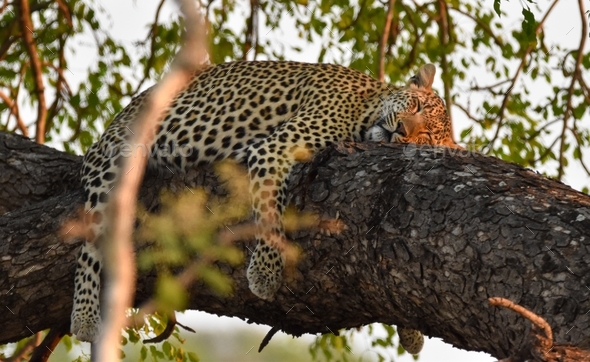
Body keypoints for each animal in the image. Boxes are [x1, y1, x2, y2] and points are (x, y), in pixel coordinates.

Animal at [69, 60, 460, 354]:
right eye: (415, 107)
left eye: (425, 136)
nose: (401, 131)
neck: (368, 104)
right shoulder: (274, 148)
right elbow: (271, 213)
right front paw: (265, 273)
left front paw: (411, 332)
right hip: (114, 161)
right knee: (90, 245)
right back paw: (84, 316)